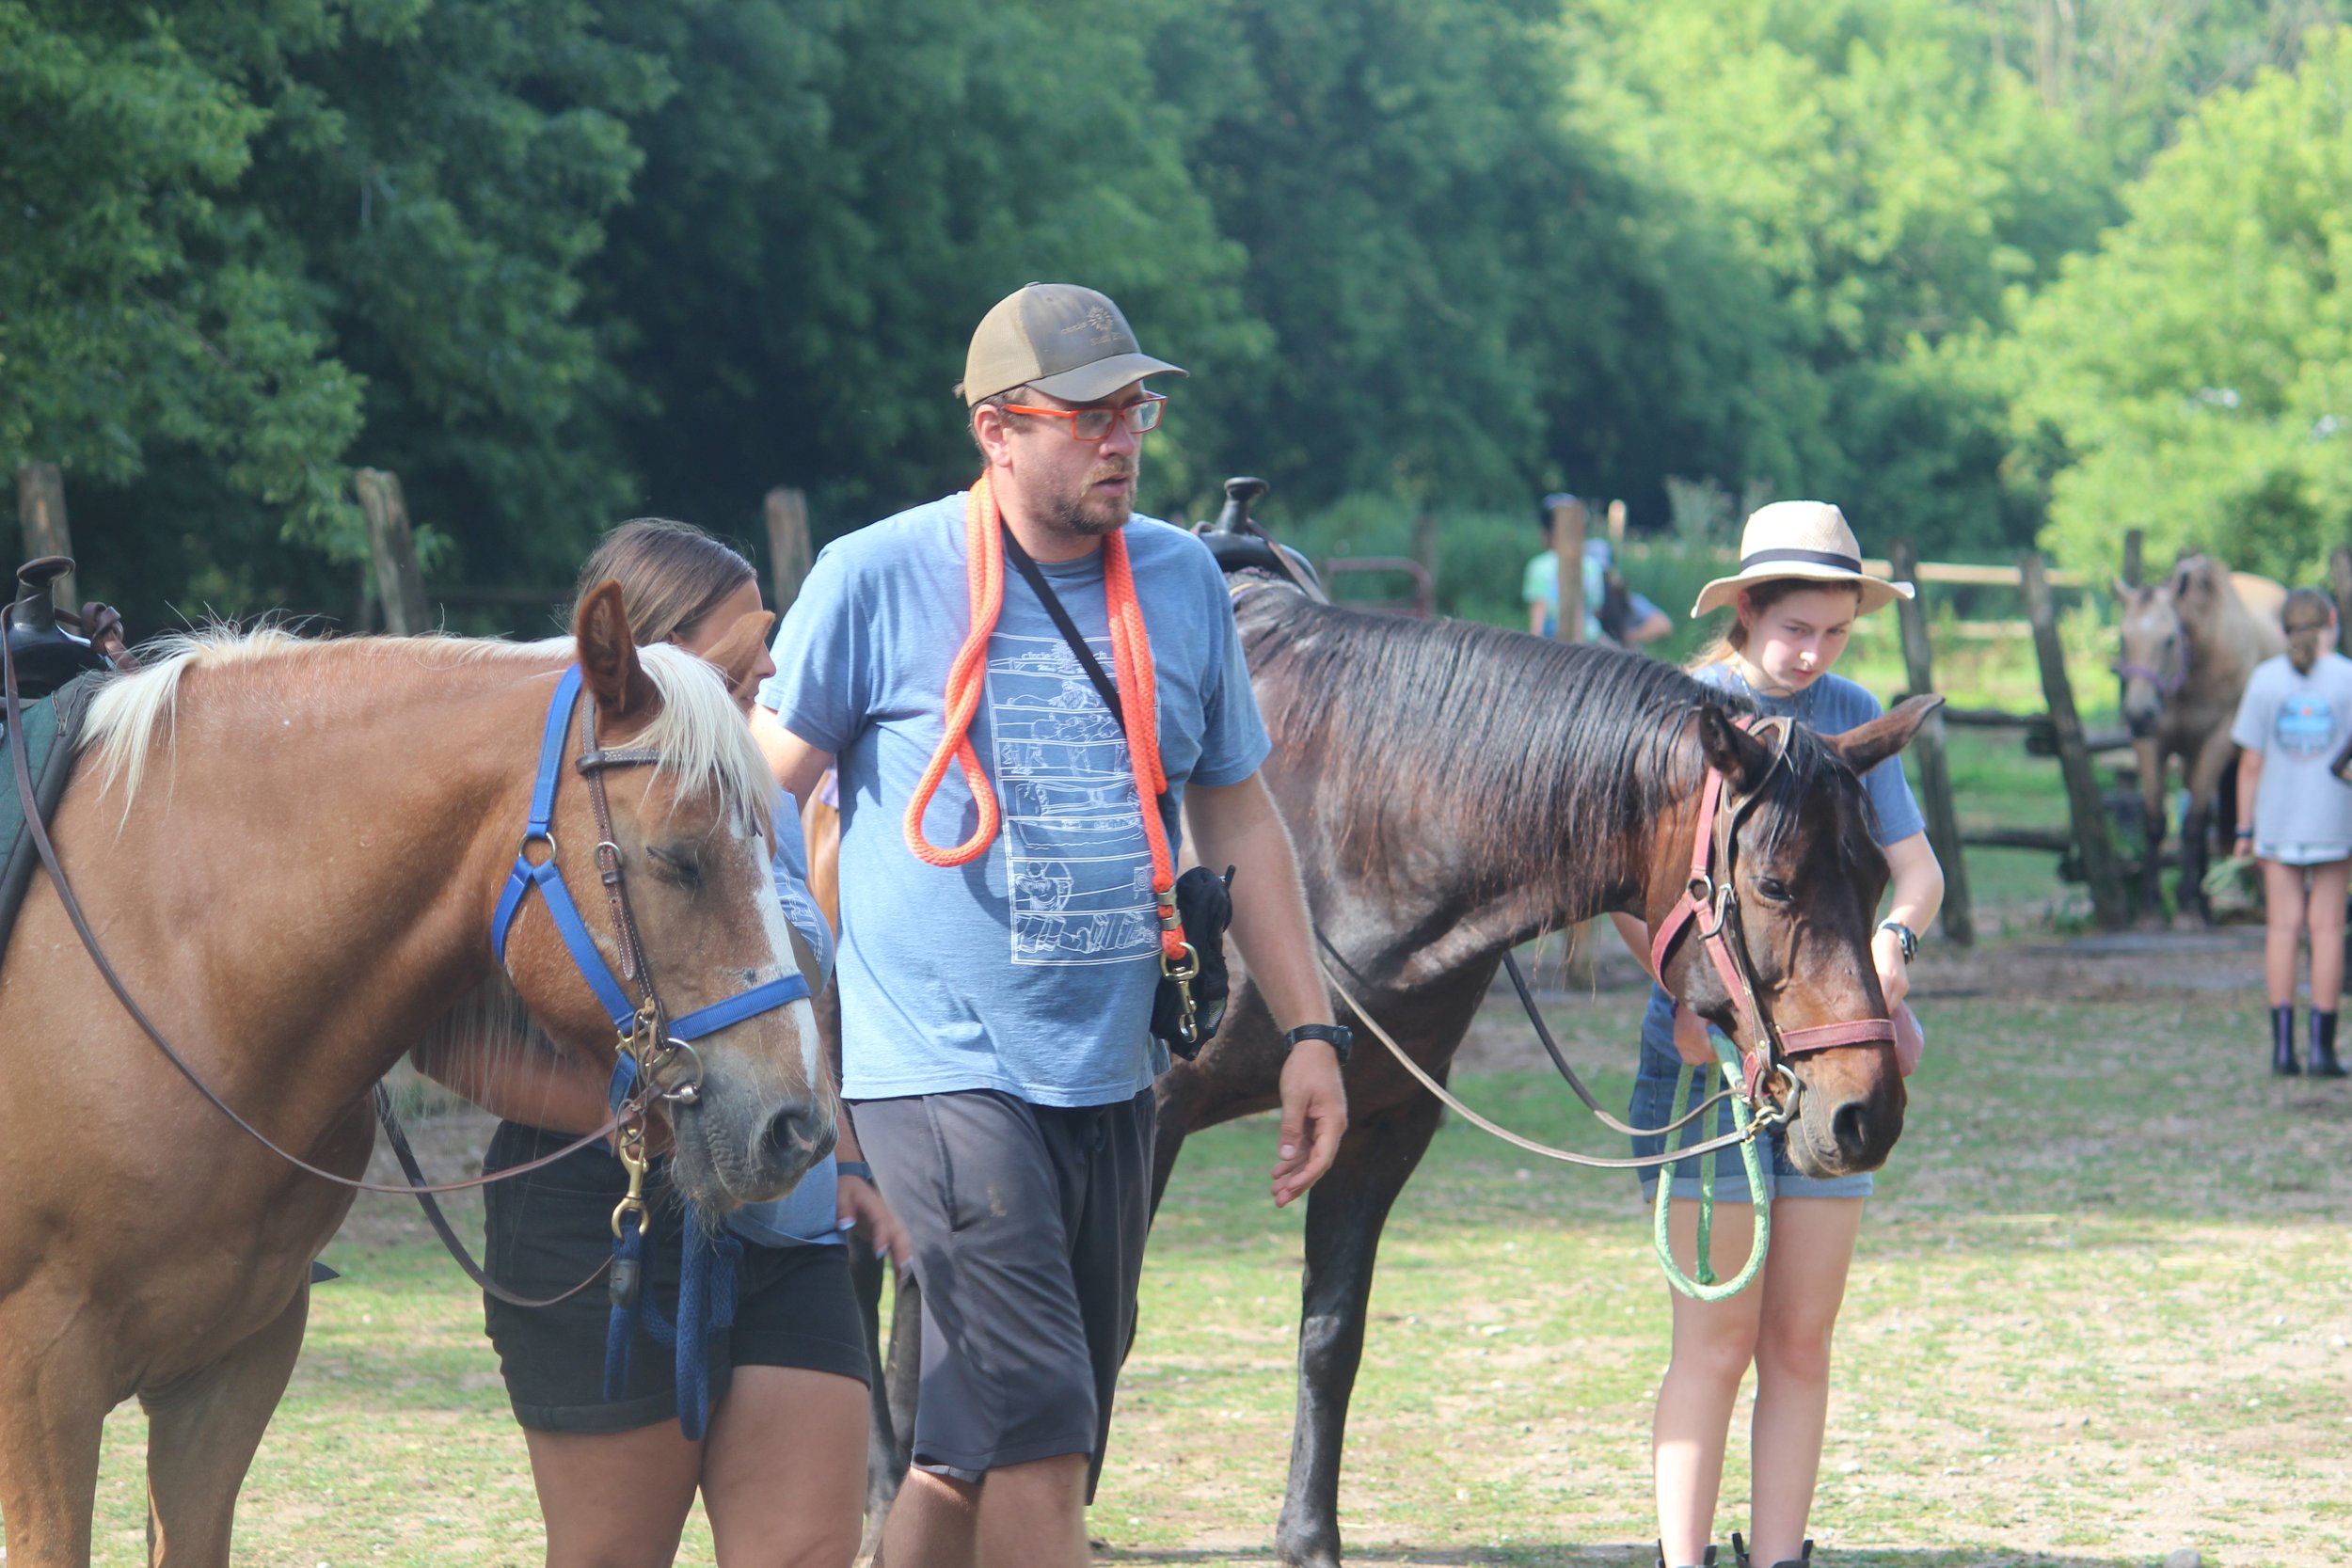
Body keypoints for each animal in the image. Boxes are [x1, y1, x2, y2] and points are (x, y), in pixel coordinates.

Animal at [2113, 554, 2285, 921]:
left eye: (2168, 640)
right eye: (2123, 638)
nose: (2138, 713)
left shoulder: (2216, 743)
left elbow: (2192, 825)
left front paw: (2185, 912)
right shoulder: (2153, 744)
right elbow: (2156, 822)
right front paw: (2152, 910)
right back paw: (2203, 902)